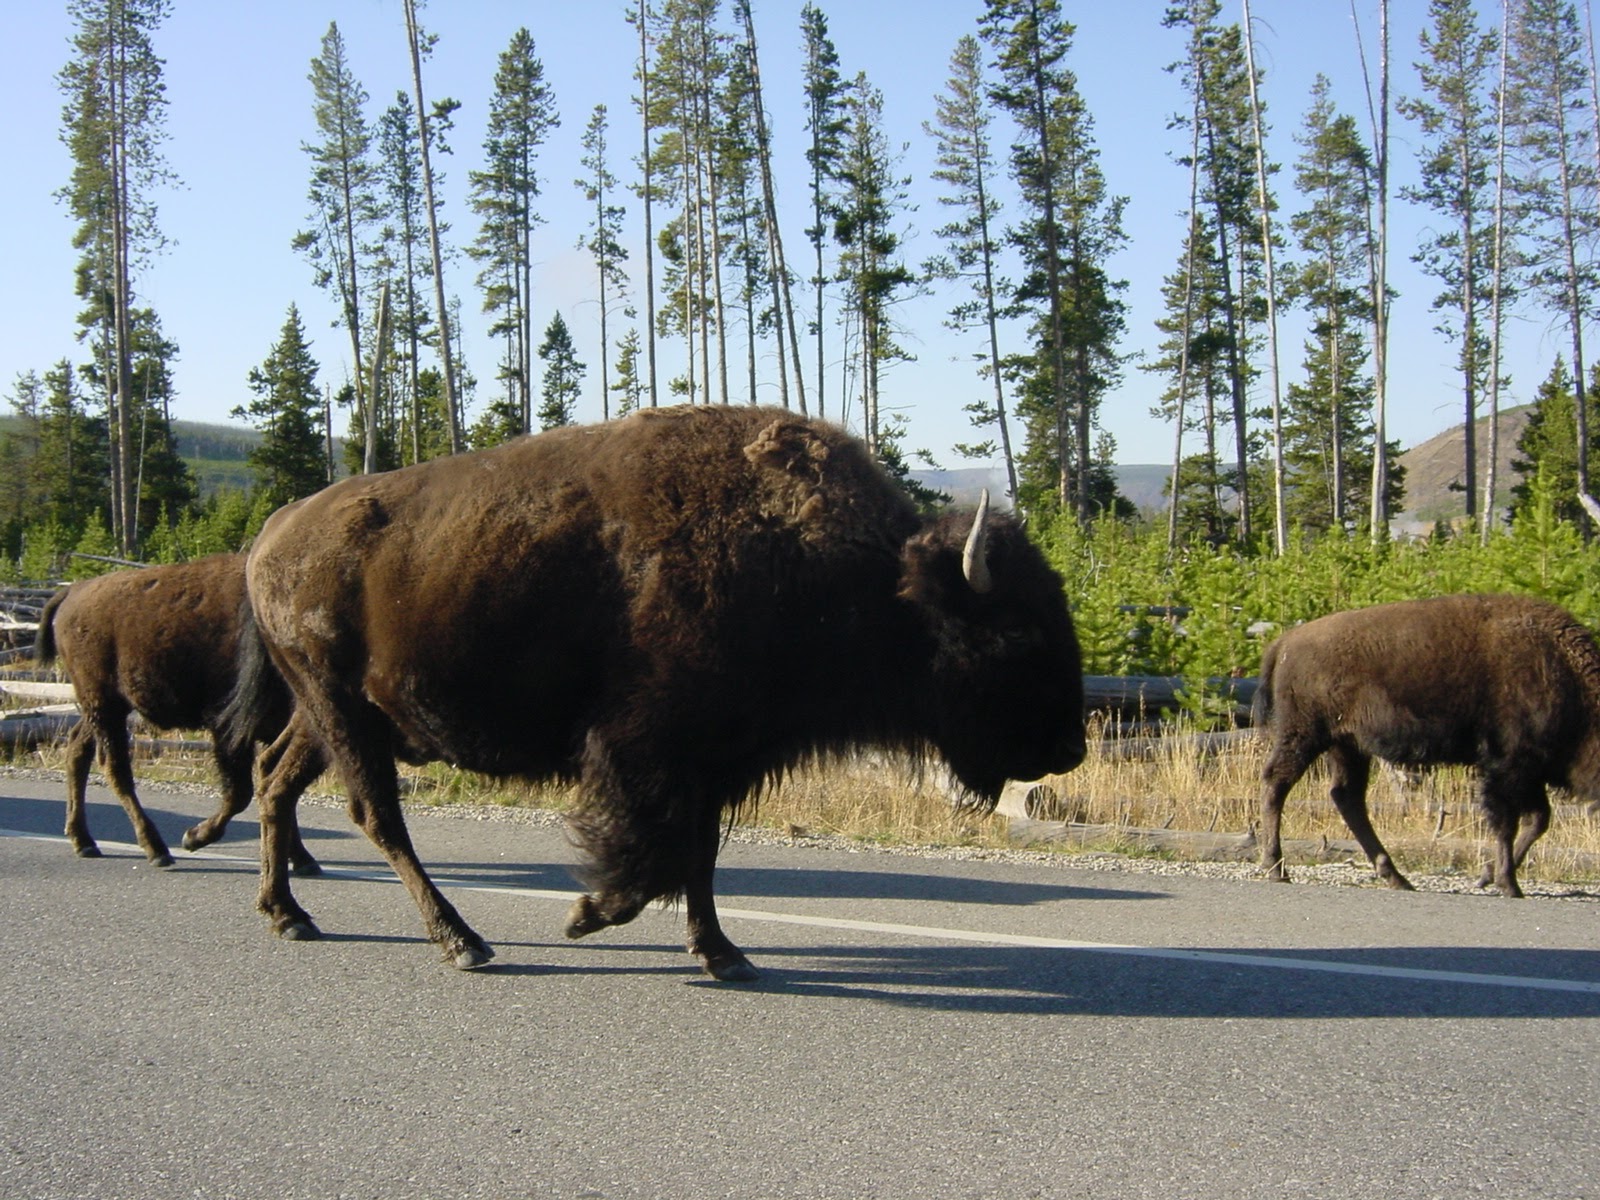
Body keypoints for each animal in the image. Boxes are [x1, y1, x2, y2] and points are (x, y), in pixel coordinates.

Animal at [36, 554, 318, 871]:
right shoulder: (228, 728)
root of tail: (73, 591)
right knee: (114, 767)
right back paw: (156, 849)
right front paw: (193, 837)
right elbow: (241, 792)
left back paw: (84, 841)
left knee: (78, 749)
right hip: (104, 705)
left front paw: (302, 859)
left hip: (103, 708)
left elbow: (279, 785)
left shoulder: (274, 728)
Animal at [226, 405, 1087, 978]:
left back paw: (289, 916)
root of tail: (274, 532)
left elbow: (699, 857)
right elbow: (657, 853)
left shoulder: (718, 760)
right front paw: (585, 916)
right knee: (375, 813)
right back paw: (461, 941)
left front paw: (723, 954)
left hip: (328, 715)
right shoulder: (648, 751)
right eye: (1017, 634)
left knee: (276, 779)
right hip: (341, 709)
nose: (1072, 748)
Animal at [1255, 593, 1600, 896]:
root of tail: (1284, 642)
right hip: (1305, 735)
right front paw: (1507, 884)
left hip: (1346, 745)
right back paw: (1276, 868)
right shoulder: (1507, 766)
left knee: (1347, 797)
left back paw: (1396, 877)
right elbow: (1509, 824)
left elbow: (1537, 820)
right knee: (1277, 783)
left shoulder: (1530, 773)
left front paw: (1489, 877)